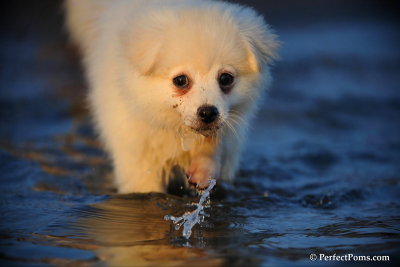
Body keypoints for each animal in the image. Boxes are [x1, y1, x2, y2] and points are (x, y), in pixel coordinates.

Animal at [65, 0, 278, 194]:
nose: (208, 113)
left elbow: (214, 148)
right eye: (180, 80)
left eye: (226, 78)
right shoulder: (134, 151)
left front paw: (202, 171)